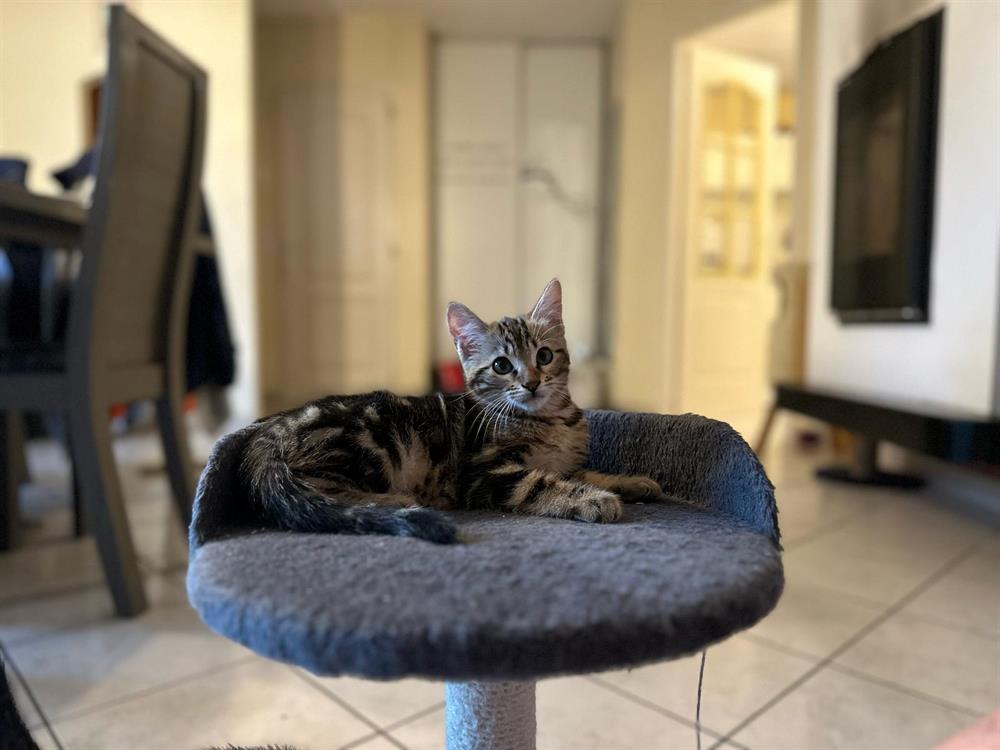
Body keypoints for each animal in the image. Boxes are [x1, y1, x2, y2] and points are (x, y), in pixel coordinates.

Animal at [243, 278, 663, 543]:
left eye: (544, 356)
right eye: (501, 366)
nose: (532, 383)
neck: (549, 418)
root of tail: (269, 430)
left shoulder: (565, 463)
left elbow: (587, 472)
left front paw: (630, 482)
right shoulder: (483, 473)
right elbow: (537, 483)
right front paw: (592, 500)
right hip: (368, 441)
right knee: (318, 492)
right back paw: (395, 502)